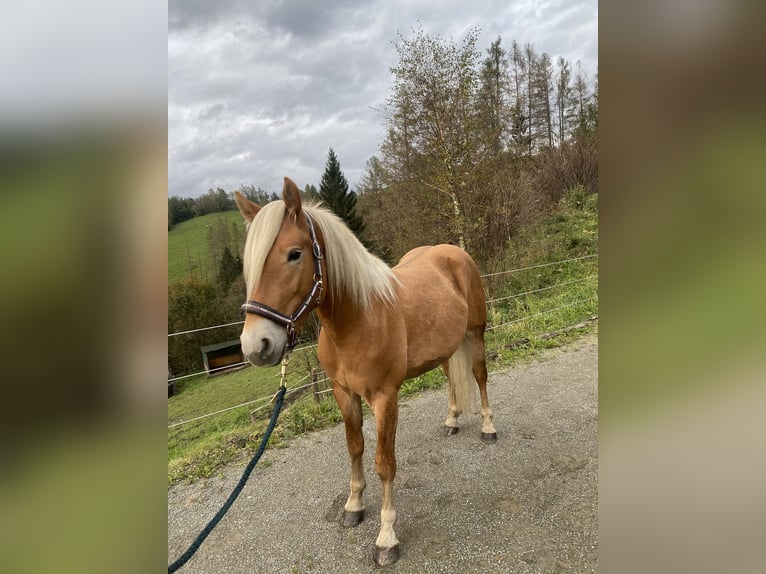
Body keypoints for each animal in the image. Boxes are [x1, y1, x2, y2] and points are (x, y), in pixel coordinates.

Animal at [234, 177, 498, 568]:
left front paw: (387, 538)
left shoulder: (385, 398)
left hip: (475, 333)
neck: (357, 320)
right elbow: (355, 447)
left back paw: (488, 428)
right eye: (249, 263)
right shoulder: (344, 393)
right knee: (453, 376)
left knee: (479, 375)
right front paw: (354, 506)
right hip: (447, 346)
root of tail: (454, 252)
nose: (257, 345)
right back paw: (451, 421)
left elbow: (384, 463)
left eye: (294, 254)